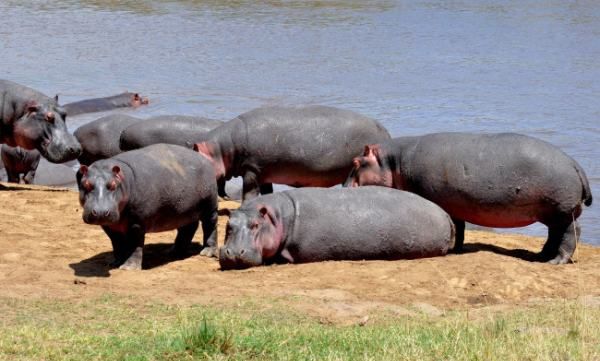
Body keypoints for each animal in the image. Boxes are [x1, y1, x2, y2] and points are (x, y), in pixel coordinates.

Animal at [77, 143, 218, 270]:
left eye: (112, 185)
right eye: (86, 184)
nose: (100, 212)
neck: (124, 180)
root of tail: (203, 158)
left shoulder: (137, 223)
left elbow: (134, 245)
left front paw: (128, 268)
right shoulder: (109, 225)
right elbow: (117, 244)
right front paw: (115, 263)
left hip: (209, 205)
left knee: (210, 225)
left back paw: (207, 252)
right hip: (184, 210)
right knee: (188, 228)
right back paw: (173, 252)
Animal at [191, 104, 390, 201]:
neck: (221, 148)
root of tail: (386, 132)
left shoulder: (251, 169)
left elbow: (249, 192)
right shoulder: (264, 172)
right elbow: (267, 192)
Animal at [344, 133, 592, 264]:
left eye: (356, 162)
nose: (343, 187)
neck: (393, 162)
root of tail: (574, 163)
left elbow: (455, 227)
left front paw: (452, 248)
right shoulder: (455, 204)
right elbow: (460, 228)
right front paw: (457, 249)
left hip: (560, 211)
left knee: (572, 232)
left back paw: (556, 261)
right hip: (549, 212)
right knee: (554, 235)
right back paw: (541, 255)